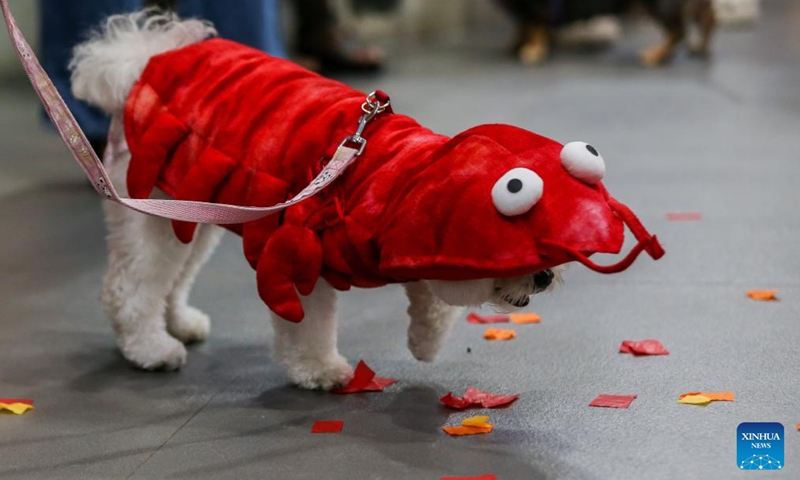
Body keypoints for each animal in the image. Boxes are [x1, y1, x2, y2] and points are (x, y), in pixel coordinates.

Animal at [496, 0, 716, 65]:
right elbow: (523, 26)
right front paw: (516, 42)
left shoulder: (537, 8)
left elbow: (535, 27)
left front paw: (533, 50)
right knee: (708, 17)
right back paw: (701, 47)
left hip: (661, 6)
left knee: (679, 32)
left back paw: (656, 54)